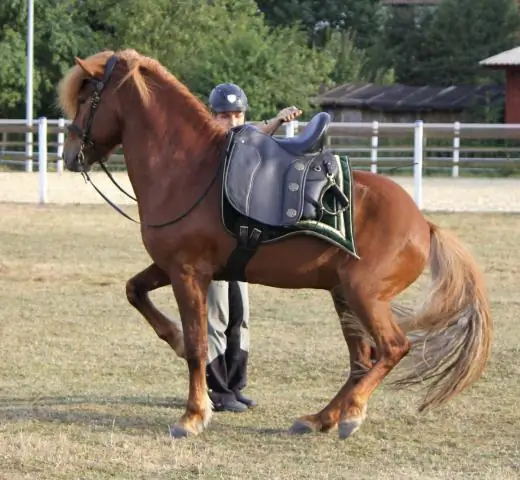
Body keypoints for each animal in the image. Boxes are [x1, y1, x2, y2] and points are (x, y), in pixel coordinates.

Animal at [58, 48, 492, 438]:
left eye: (84, 98)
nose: (69, 154)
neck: (189, 170)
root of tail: (424, 224)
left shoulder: (187, 272)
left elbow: (199, 345)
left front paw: (193, 415)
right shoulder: (175, 267)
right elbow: (136, 292)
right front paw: (176, 341)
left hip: (363, 295)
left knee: (392, 349)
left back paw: (350, 413)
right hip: (344, 297)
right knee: (361, 360)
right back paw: (320, 418)